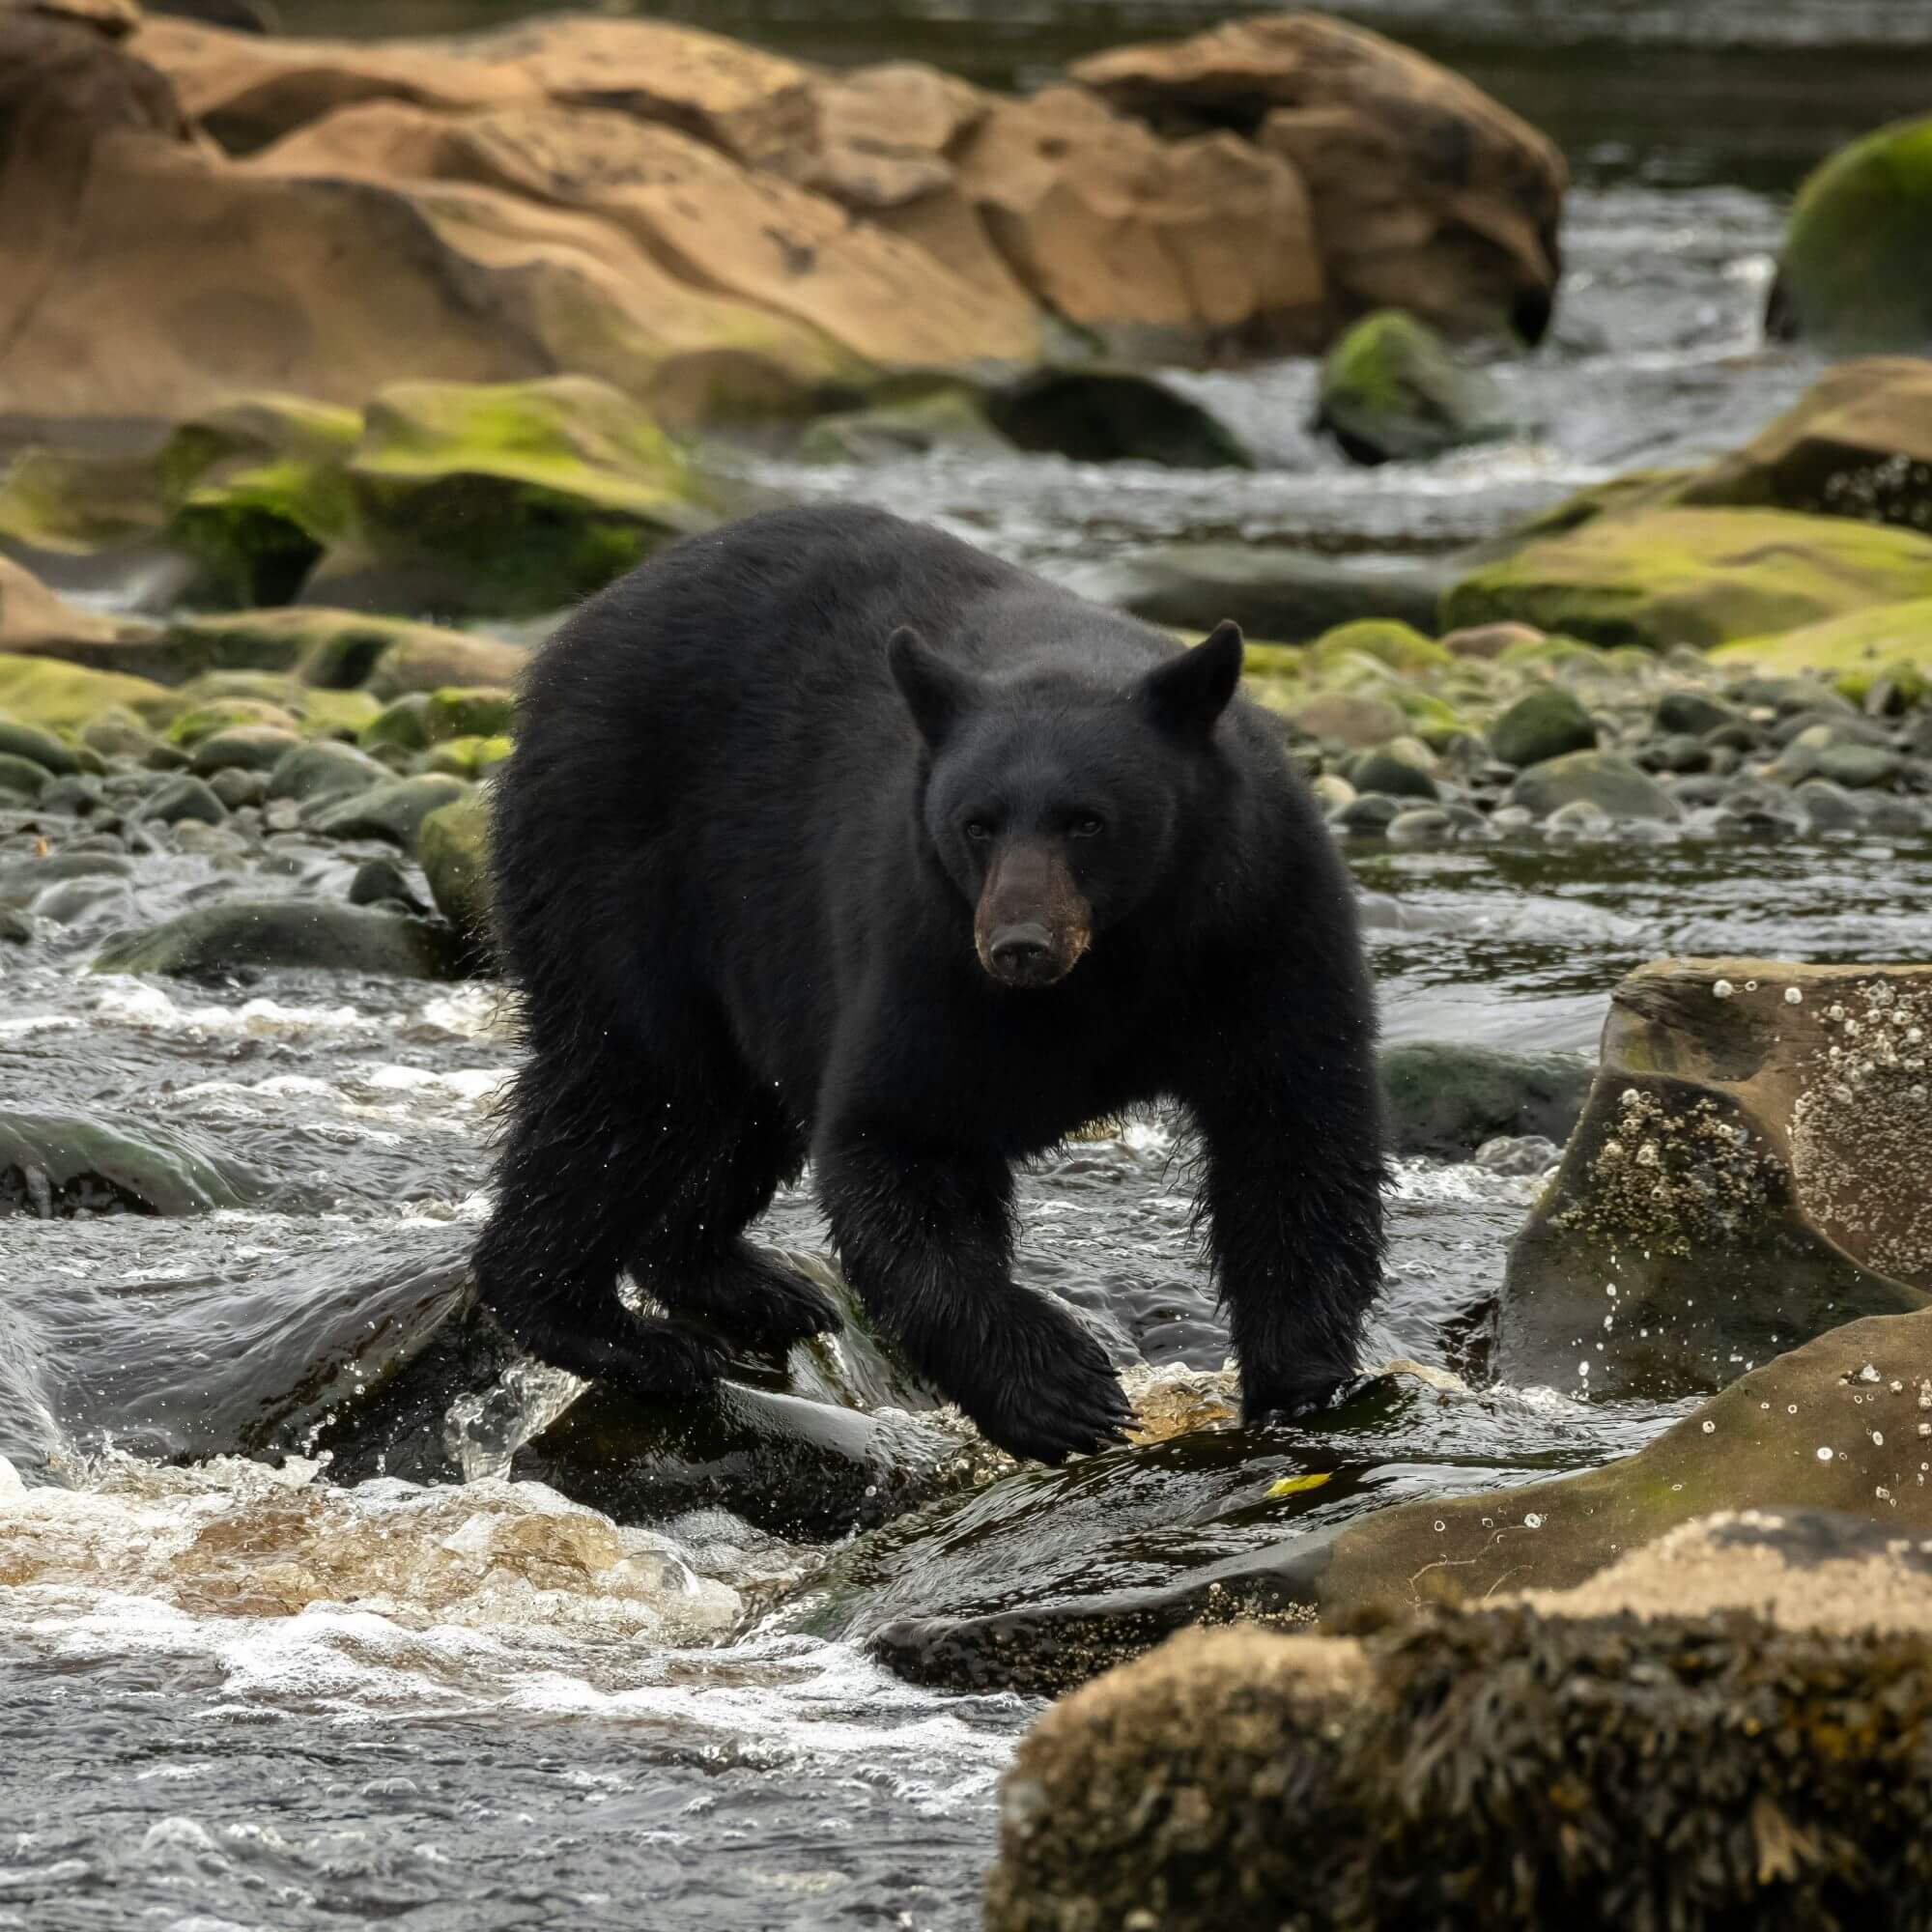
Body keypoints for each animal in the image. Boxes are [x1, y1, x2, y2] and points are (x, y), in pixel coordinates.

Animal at [473, 503, 1385, 1465]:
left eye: (1087, 821)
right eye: (976, 823)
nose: (1019, 945)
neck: (1114, 960)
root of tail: (584, 621)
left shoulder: (1260, 924)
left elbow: (1293, 1132)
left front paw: (1302, 1381)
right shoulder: (929, 950)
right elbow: (902, 1135)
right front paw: (1059, 1390)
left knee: (725, 1112)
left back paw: (744, 1282)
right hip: (616, 860)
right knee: (632, 1090)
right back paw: (613, 1330)